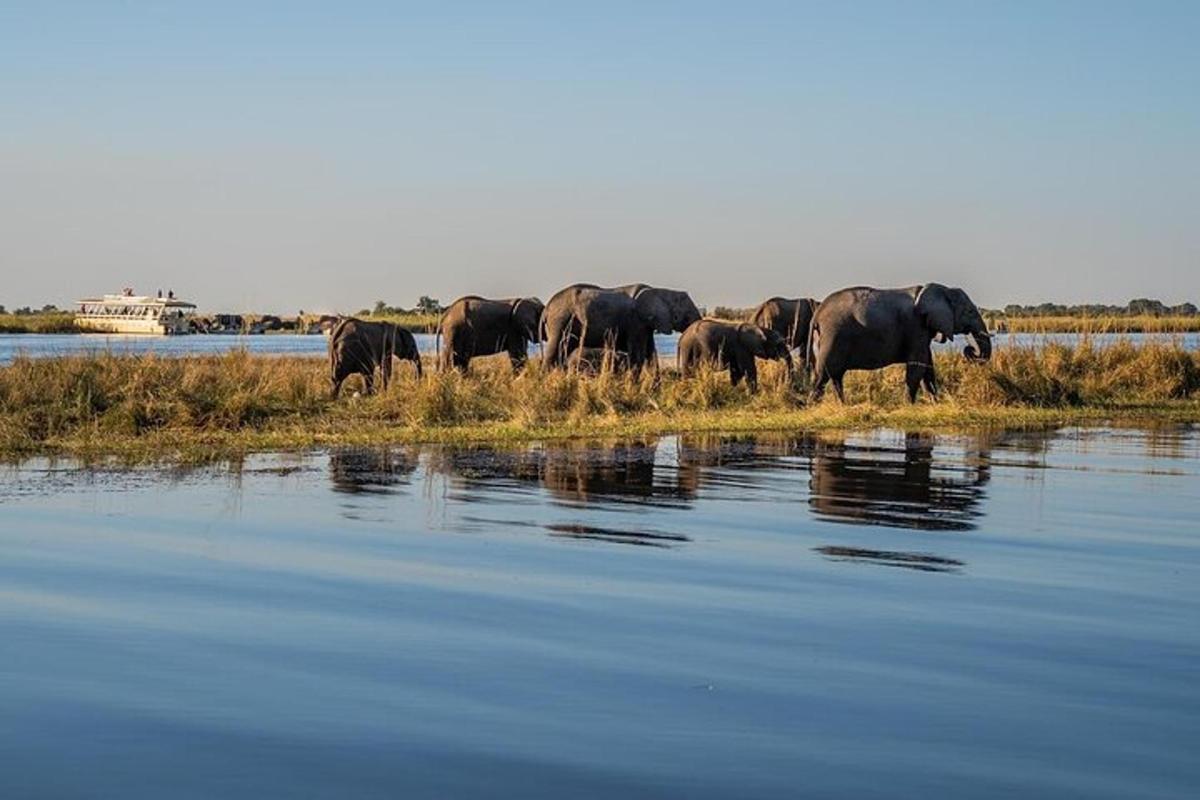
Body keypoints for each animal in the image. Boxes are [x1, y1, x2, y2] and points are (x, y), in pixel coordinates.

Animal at [540, 283, 700, 367]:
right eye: (687, 315)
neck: (661, 291)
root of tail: (546, 309)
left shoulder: (645, 325)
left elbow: (651, 355)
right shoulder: (636, 321)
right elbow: (638, 356)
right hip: (560, 322)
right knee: (554, 353)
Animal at [806, 283, 993, 407]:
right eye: (970, 312)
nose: (969, 350)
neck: (942, 290)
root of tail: (817, 313)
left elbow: (927, 366)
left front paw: (935, 403)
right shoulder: (915, 327)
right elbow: (917, 367)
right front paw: (909, 406)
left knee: (835, 376)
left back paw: (842, 405)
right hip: (833, 336)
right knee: (823, 375)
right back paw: (812, 407)